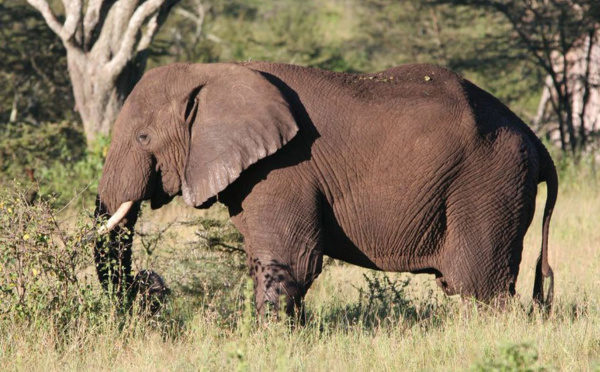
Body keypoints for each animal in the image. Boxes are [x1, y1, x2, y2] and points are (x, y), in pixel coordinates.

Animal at [94, 61, 556, 320]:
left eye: (142, 138)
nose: (151, 285)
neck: (213, 71)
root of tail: (534, 138)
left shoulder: (285, 167)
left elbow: (291, 261)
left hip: (489, 184)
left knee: (479, 287)